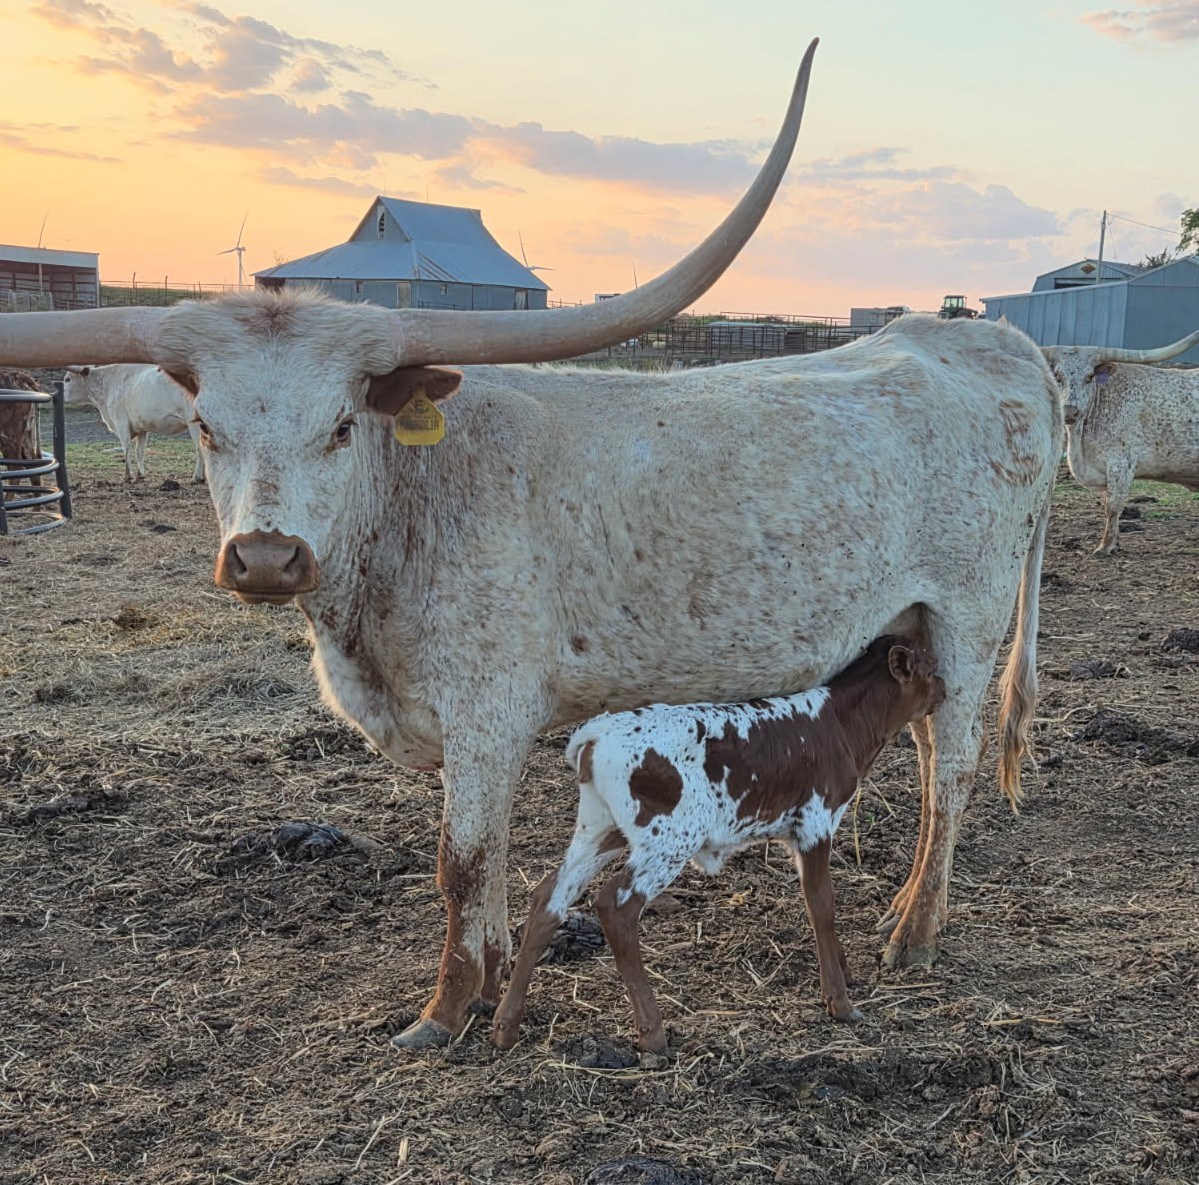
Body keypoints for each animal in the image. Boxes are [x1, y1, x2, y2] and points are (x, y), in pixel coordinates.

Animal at [63, 363, 205, 483]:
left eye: (68, 379)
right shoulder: (142, 428)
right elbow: (139, 451)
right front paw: (140, 474)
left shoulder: (121, 423)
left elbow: (127, 448)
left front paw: (127, 476)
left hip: (194, 424)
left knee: (200, 448)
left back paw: (197, 477)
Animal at [492, 635, 945, 1053]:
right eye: (927, 666)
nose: (943, 687)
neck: (839, 724)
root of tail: (596, 732)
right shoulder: (816, 823)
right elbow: (822, 905)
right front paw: (840, 1000)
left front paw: (845, 972)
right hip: (669, 837)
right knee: (616, 906)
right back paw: (652, 1034)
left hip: (600, 829)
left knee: (549, 897)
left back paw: (506, 1024)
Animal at [1043, 329, 1199, 554]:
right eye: (1057, 376)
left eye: (1089, 377)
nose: (1070, 412)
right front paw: (1114, 543)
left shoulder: (1121, 465)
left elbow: (1113, 507)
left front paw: (1105, 546)